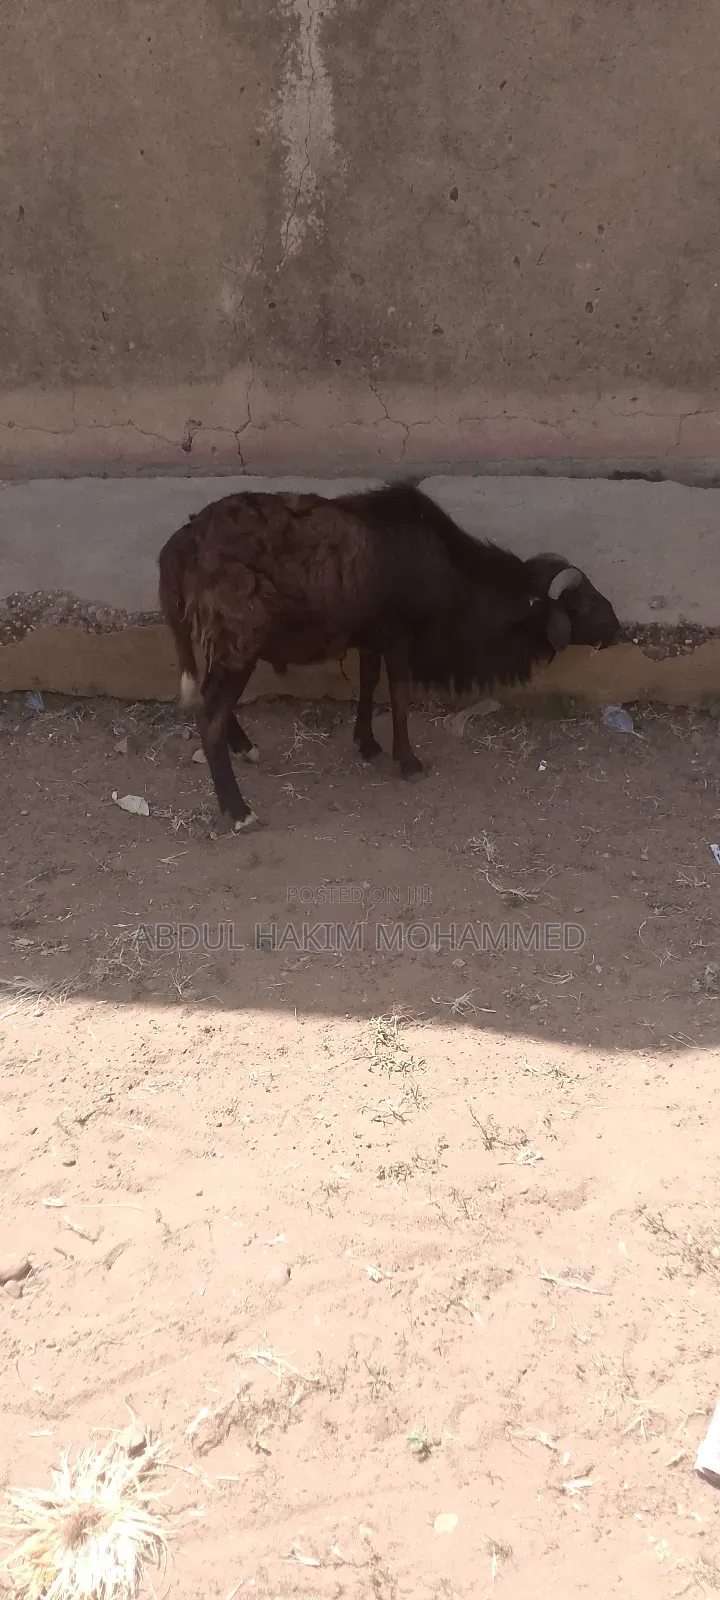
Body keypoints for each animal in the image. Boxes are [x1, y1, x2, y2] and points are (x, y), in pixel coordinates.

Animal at [157, 482, 620, 831]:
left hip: (224, 646)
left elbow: (367, 681)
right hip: (238, 643)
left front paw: (367, 743)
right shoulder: (399, 637)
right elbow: (398, 693)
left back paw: (244, 747)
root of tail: (179, 547)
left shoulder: (371, 637)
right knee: (209, 716)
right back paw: (238, 811)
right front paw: (408, 761)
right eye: (585, 603)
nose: (617, 628)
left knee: (211, 700)